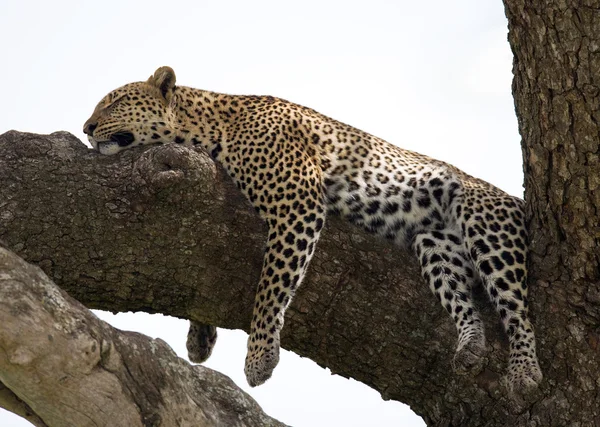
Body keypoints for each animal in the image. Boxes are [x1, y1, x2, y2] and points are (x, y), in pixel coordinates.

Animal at [83, 66, 544, 394]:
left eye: (116, 102)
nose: (86, 127)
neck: (206, 125)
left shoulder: (298, 202)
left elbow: (271, 285)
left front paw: (259, 357)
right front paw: (200, 336)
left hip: (484, 218)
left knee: (517, 309)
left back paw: (524, 372)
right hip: (435, 242)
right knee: (468, 302)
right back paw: (471, 346)